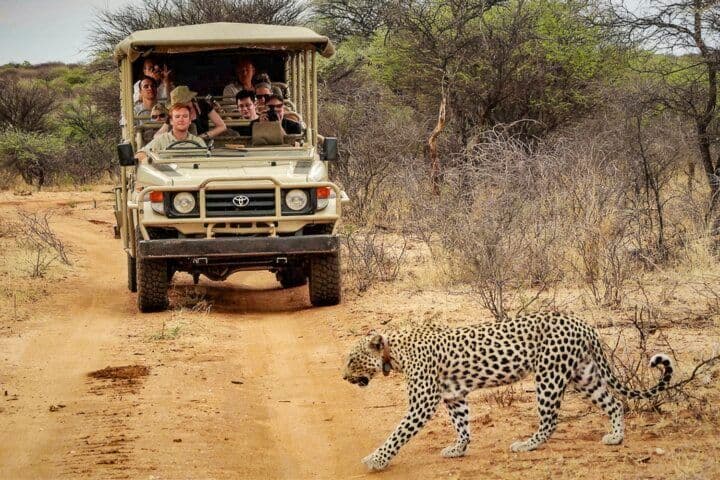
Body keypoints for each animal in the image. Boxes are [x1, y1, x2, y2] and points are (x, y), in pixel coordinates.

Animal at [342, 312, 674, 471]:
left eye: (351, 359)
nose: (343, 377)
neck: (394, 352)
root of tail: (583, 323)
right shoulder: (454, 396)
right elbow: (462, 426)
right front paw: (458, 449)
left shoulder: (423, 403)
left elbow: (397, 433)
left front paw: (376, 460)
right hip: (584, 374)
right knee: (614, 402)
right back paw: (616, 437)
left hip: (549, 375)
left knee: (550, 420)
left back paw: (527, 445)